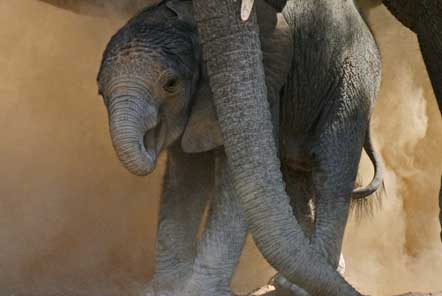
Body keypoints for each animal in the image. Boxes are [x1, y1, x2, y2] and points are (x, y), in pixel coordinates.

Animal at [97, 1, 384, 294]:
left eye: (171, 84)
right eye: (100, 92)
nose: (147, 145)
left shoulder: (266, 77)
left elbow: (233, 178)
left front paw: (200, 291)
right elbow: (185, 178)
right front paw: (166, 289)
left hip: (351, 80)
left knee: (331, 168)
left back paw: (298, 285)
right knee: (292, 177)